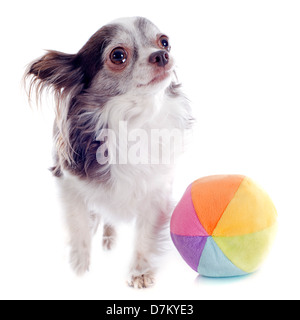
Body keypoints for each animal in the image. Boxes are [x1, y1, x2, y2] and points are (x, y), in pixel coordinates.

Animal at [26, 16, 195, 288]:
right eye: (118, 55)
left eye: (164, 42)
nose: (162, 55)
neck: (132, 121)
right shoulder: (69, 186)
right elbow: (79, 227)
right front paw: (79, 267)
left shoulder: (156, 191)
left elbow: (145, 234)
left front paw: (140, 271)